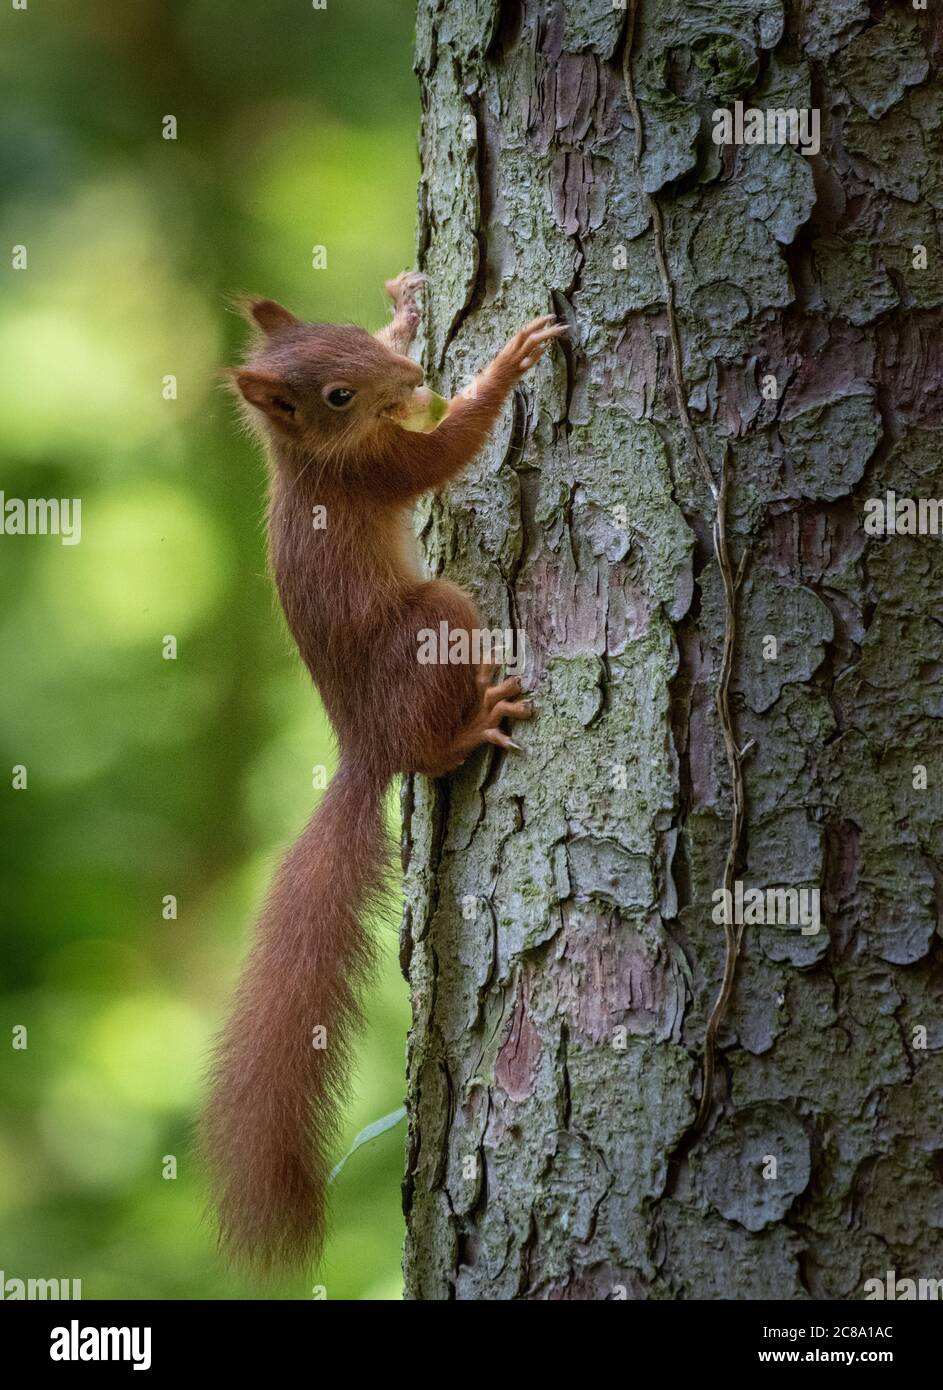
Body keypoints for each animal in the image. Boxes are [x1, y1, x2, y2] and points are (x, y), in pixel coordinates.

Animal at [201, 268, 564, 1273]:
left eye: (351, 341)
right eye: (335, 395)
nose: (409, 376)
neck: (309, 461)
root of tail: (366, 748)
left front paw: (405, 307)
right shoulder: (378, 471)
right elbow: (444, 452)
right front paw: (506, 363)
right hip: (435, 618)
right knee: (435, 737)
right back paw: (475, 724)